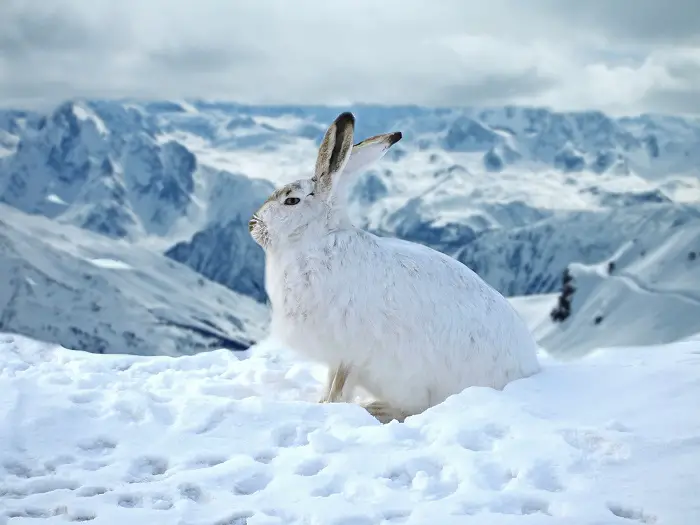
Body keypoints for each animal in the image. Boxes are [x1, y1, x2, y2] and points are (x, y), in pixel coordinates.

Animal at [249, 111, 541, 423]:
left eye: (291, 200)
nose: (252, 225)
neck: (317, 239)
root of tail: (526, 371)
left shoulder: (348, 348)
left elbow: (340, 383)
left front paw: (329, 406)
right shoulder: (335, 354)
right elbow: (329, 381)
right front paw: (320, 402)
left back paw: (376, 409)